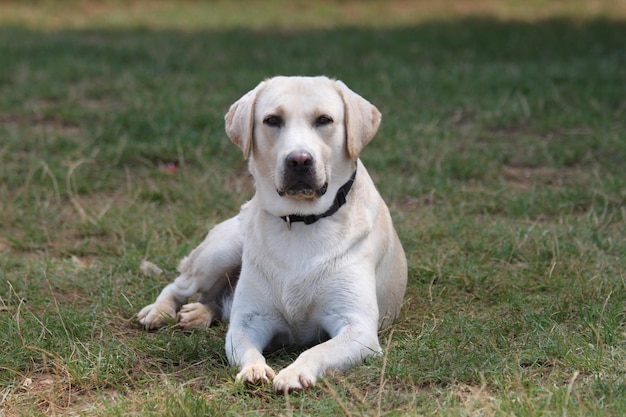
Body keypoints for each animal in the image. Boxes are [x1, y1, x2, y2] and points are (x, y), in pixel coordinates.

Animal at [137, 76, 408, 392]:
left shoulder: (358, 328)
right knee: (179, 286)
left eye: (324, 120)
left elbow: (316, 350)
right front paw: (254, 370)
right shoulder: (249, 321)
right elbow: (246, 347)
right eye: (272, 120)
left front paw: (294, 372)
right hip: (220, 252)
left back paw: (198, 314)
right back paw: (160, 311)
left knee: (214, 302)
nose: (299, 160)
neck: (301, 222)